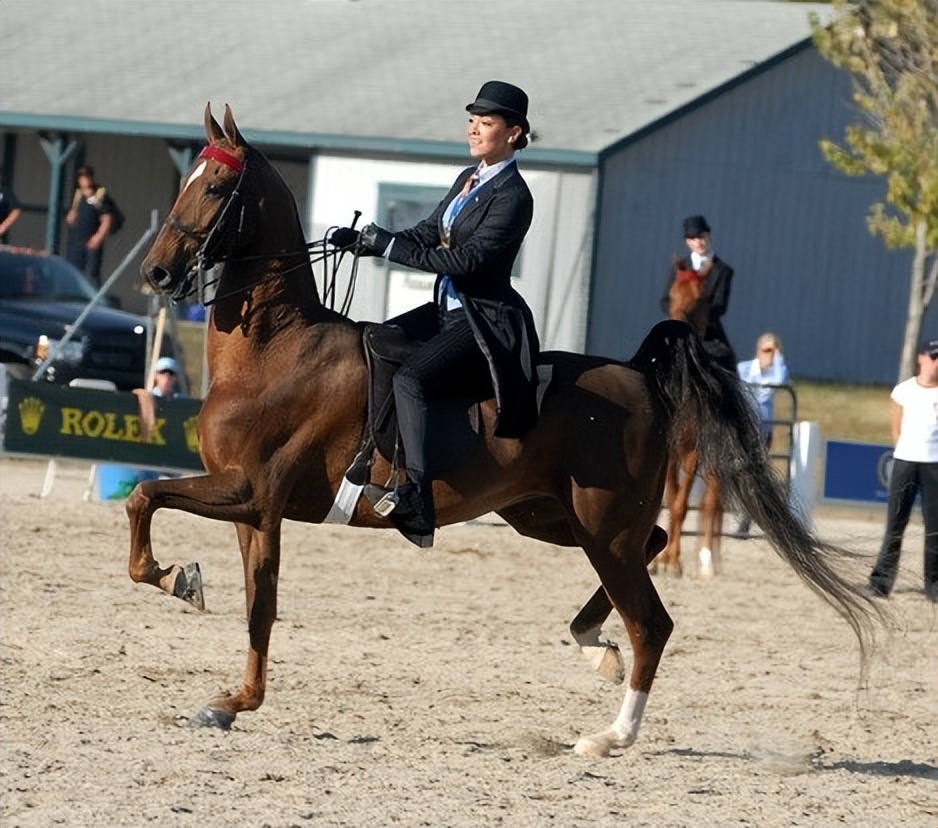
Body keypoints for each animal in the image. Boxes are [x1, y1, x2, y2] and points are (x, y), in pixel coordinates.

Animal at [129, 104, 876, 758]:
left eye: (216, 186)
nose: (155, 272)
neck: (274, 351)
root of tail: (638, 374)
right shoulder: (256, 510)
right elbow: (259, 604)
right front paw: (233, 700)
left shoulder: (252, 493)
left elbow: (145, 498)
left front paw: (175, 578)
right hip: (552, 517)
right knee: (656, 549)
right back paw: (594, 645)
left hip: (599, 527)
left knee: (653, 623)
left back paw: (609, 736)